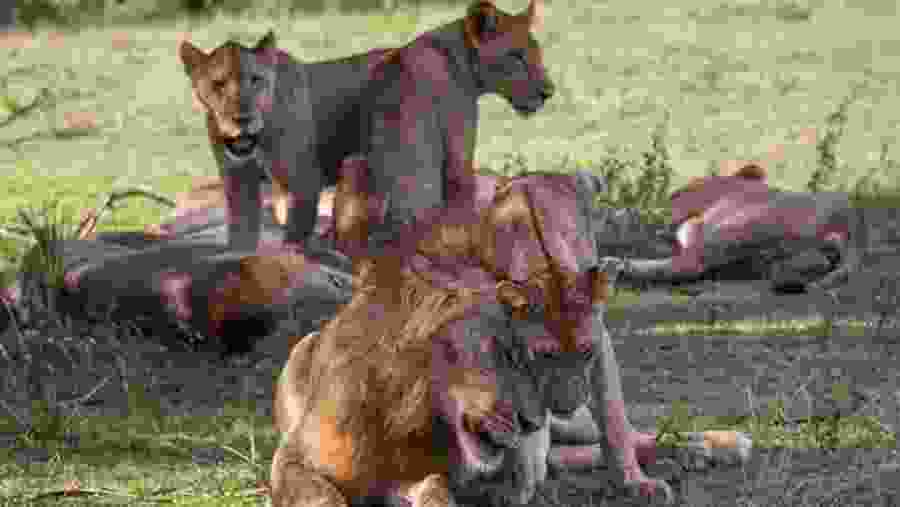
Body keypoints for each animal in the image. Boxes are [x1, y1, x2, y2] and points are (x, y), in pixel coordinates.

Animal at [178, 0, 555, 253]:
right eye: (217, 84)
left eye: (257, 80)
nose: (548, 91)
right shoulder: (238, 185)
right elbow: (240, 241)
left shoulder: (303, 183)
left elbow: (292, 239)